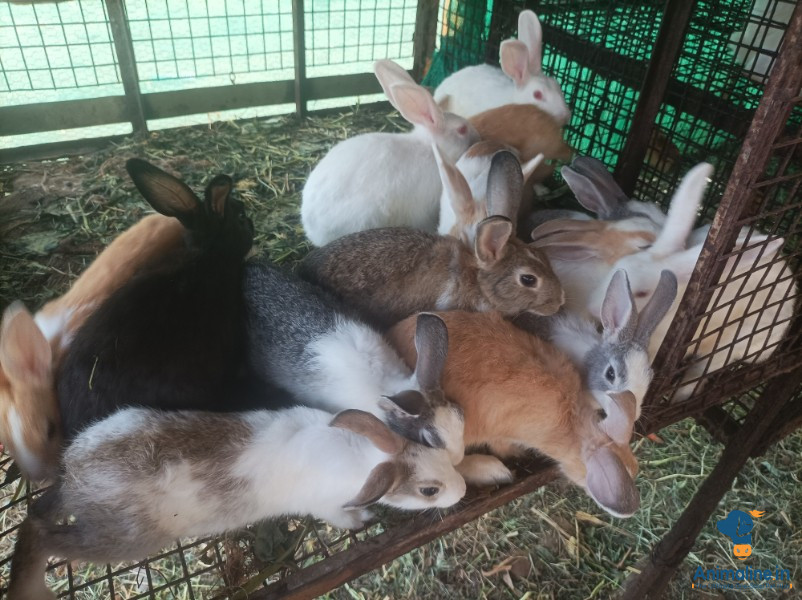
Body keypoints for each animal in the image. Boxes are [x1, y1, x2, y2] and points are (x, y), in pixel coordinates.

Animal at [7, 406, 467, 600]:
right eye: (428, 490)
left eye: (434, 449)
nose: (462, 490)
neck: (360, 455)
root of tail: (74, 473)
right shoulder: (326, 507)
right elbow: (344, 517)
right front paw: (363, 518)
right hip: (121, 540)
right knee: (37, 531)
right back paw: (31, 589)